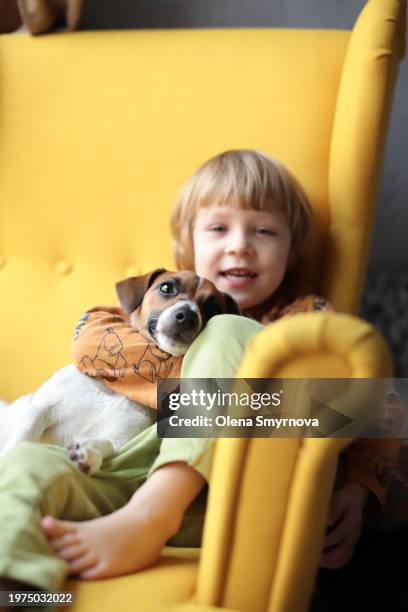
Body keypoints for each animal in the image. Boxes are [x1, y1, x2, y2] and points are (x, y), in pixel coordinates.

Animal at [0, 270, 239, 476]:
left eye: (214, 308)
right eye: (166, 287)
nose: (188, 316)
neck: (121, 386)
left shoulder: (122, 436)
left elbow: (107, 444)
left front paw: (89, 451)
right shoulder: (39, 410)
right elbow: (21, 439)